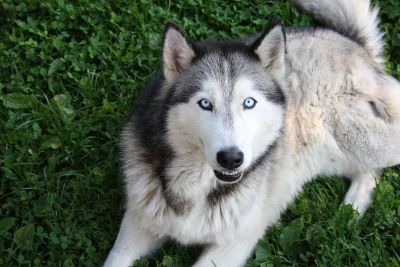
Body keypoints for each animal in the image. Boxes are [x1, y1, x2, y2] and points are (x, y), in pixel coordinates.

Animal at [104, 1, 400, 266]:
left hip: (358, 136)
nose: (231, 158)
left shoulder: (234, 244)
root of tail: (350, 41)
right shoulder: (139, 222)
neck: (196, 185)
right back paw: (352, 209)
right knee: (367, 171)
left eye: (248, 102)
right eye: (205, 103)